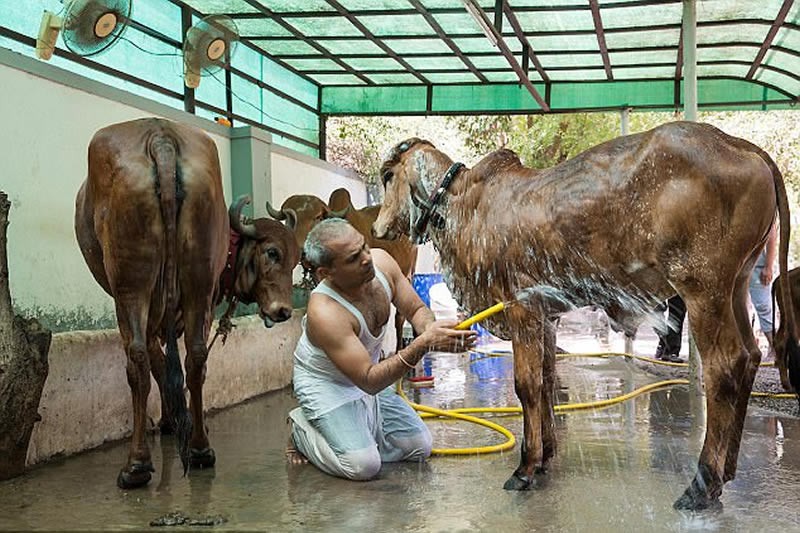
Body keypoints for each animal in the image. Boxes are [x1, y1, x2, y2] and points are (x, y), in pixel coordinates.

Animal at [74, 118, 300, 488]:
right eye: (272, 253)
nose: (282, 311)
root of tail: (160, 137)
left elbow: (156, 362)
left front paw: (169, 421)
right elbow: (173, 363)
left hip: (131, 288)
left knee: (138, 361)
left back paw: (137, 464)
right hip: (196, 284)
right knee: (195, 358)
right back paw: (199, 449)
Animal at [376, 121, 800, 512]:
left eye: (387, 176)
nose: (378, 227)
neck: (465, 205)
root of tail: (738, 144)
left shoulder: (521, 307)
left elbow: (527, 385)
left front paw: (525, 467)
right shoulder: (545, 317)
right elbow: (547, 380)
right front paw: (545, 455)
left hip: (702, 288)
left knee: (724, 366)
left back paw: (704, 483)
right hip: (736, 284)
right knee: (750, 356)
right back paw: (726, 470)